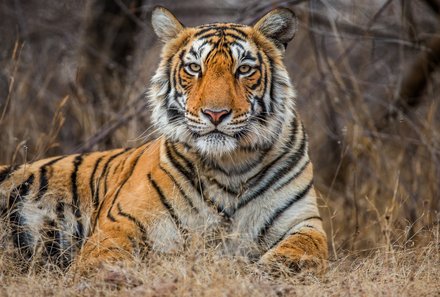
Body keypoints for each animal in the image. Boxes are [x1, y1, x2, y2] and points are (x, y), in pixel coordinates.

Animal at [0, 6, 328, 272]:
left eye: (244, 69)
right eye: (194, 68)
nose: (215, 114)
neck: (230, 165)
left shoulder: (304, 221)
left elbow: (305, 248)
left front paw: (276, 268)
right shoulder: (120, 222)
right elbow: (105, 259)